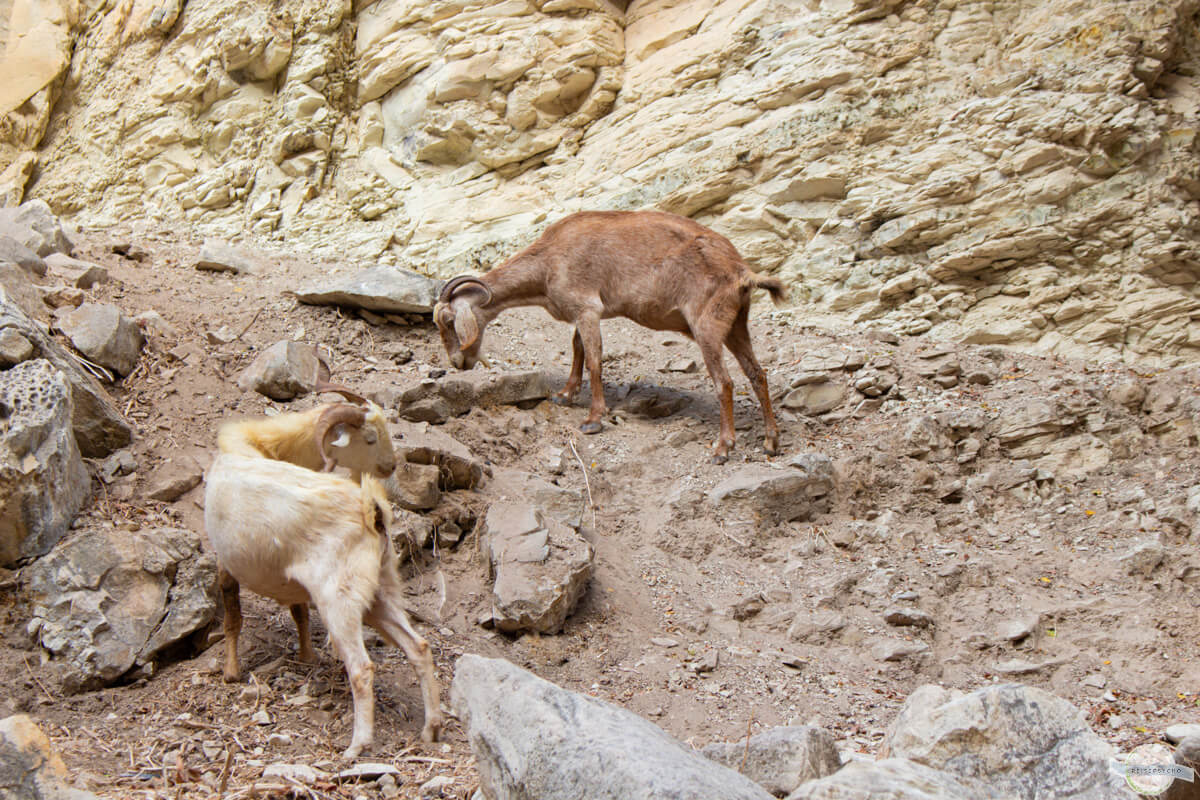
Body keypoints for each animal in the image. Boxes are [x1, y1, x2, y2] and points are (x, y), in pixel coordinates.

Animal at [436, 209, 782, 462]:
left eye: (449, 320)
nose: (457, 362)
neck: (549, 261)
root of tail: (742, 272)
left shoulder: (588, 307)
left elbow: (594, 360)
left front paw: (593, 419)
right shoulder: (583, 313)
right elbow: (577, 347)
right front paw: (564, 394)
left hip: (706, 327)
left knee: (725, 382)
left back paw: (723, 447)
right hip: (736, 326)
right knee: (757, 374)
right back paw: (770, 442)